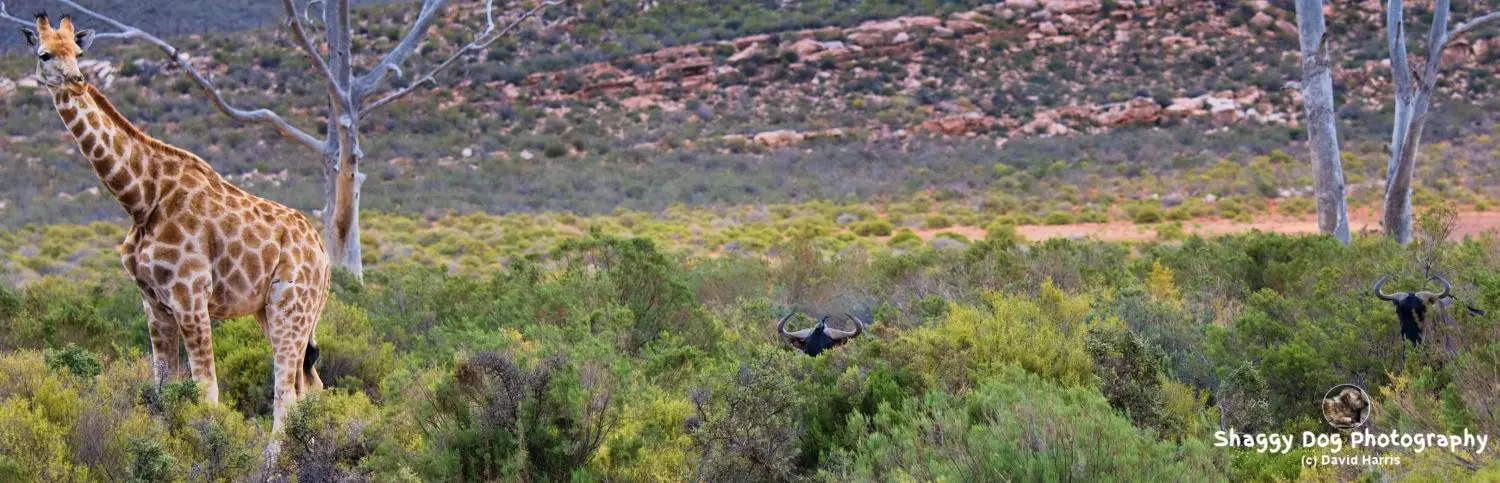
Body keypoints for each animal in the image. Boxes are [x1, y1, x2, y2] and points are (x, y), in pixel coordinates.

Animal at [21, 14, 330, 431]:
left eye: (78, 52)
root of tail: (324, 256)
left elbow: (206, 391)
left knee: (285, 394)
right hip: (272, 311)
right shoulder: (153, 302)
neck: (141, 198)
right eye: (45, 53)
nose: (74, 79)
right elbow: (161, 391)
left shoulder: (190, 295)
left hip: (291, 306)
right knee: (309, 386)